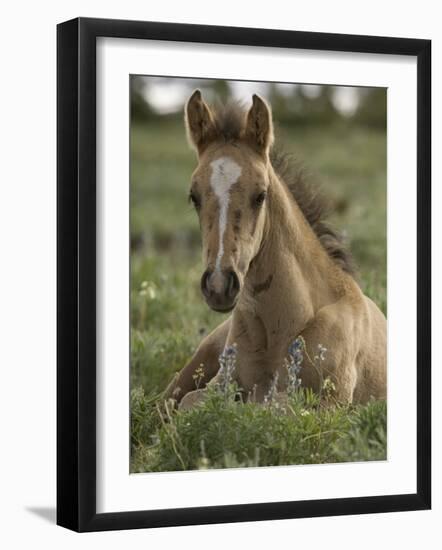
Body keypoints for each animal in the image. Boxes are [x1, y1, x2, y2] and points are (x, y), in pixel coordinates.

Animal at [164, 91, 386, 410]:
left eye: (261, 195)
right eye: (194, 196)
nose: (219, 285)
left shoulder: (331, 404)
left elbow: (274, 407)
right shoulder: (219, 384)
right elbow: (191, 404)